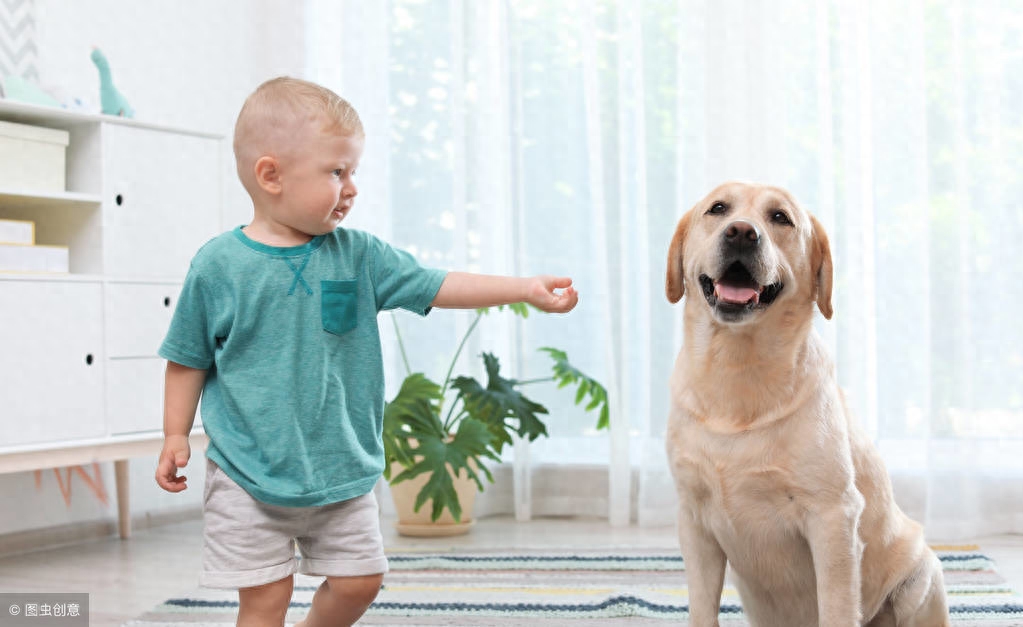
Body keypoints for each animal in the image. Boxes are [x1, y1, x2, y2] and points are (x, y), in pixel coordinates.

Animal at [662, 182, 949, 625]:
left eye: (780, 217)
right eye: (718, 209)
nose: (741, 233)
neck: (737, 371)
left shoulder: (833, 517)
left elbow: (836, 606)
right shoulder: (694, 519)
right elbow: (702, 608)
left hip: (921, 576)